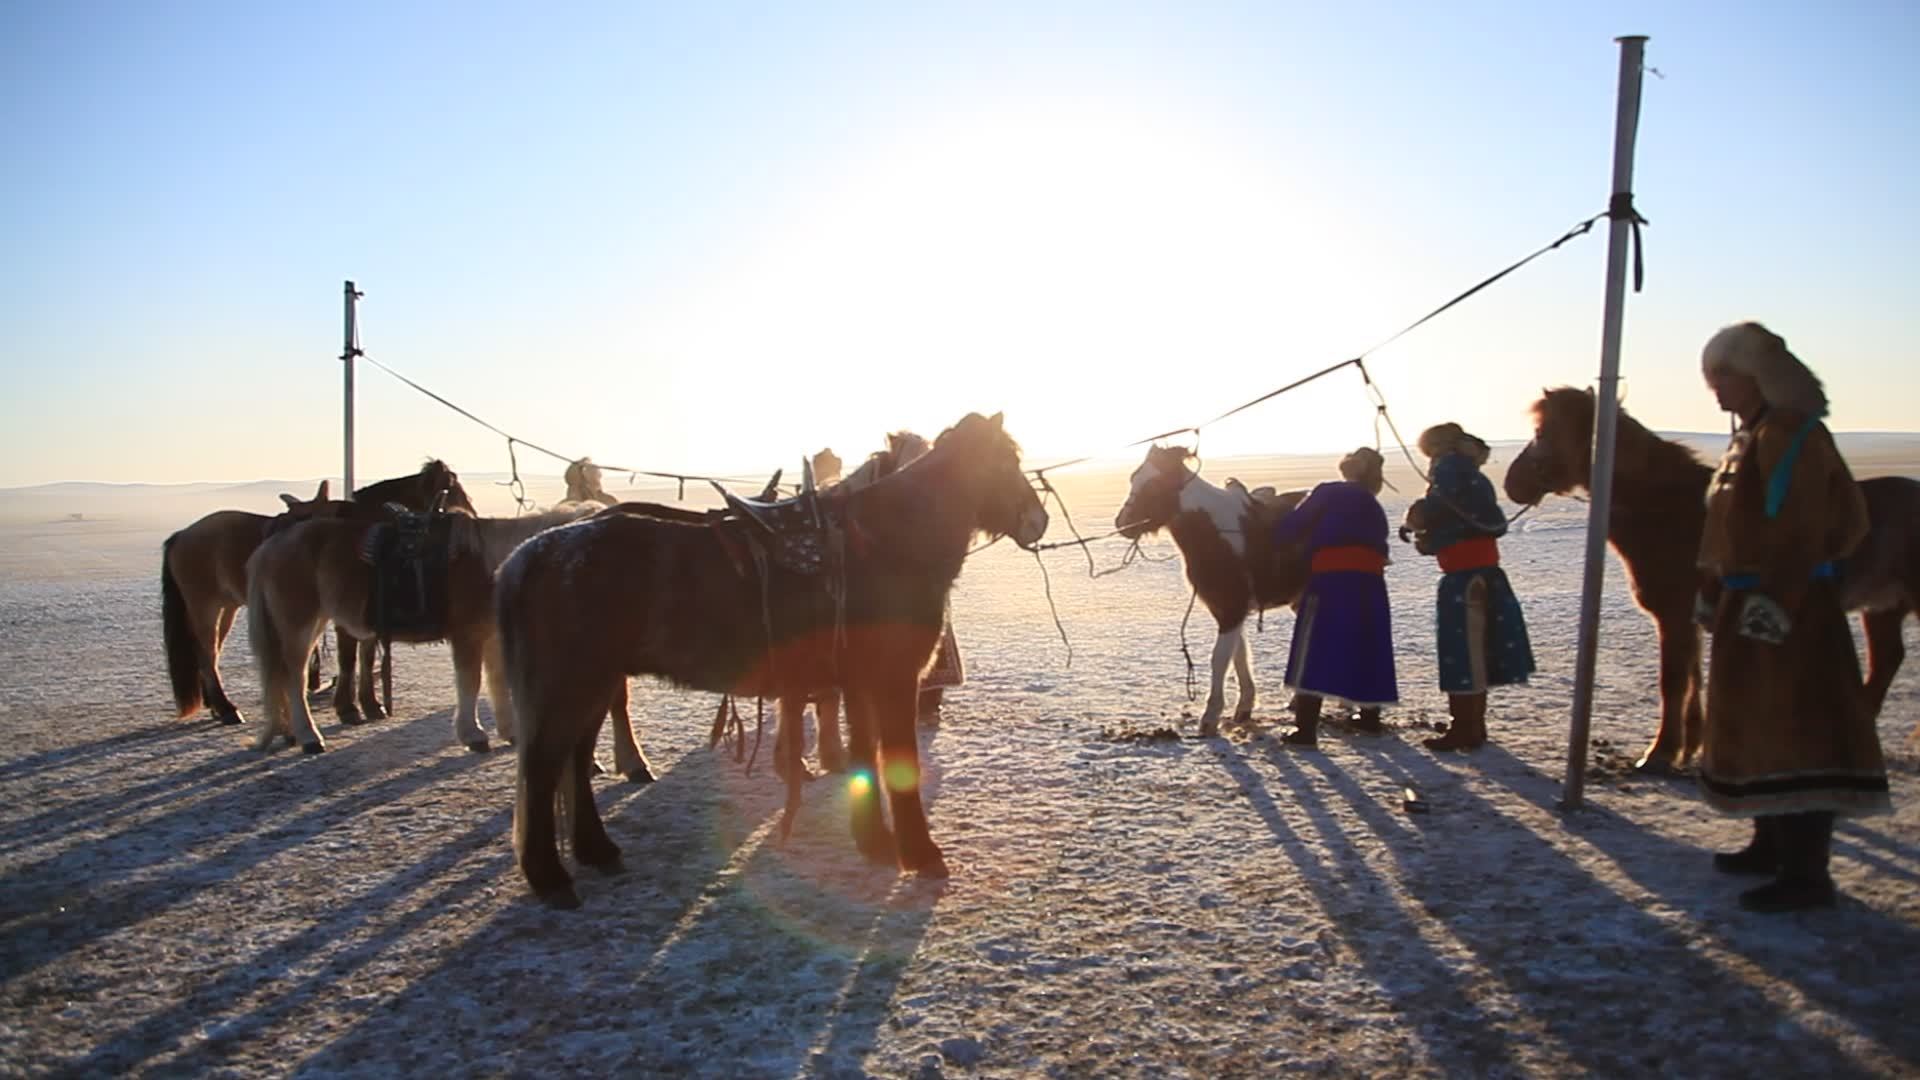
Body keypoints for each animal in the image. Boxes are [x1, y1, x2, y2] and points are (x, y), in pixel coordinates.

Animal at [245, 504, 594, 755]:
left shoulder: (493, 637)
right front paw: (473, 735)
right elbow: (470, 682)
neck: (493, 564)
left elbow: (497, 681)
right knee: (295, 677)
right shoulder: (467, 636)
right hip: (300, 623)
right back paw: (309, 737)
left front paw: (510, 733)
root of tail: (271, 546)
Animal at [495, 412, 1048, 908]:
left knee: (574, 760)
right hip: (571, 686)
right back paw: (550, 877)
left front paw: (875, 844)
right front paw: (921, 854)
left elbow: (863, 758)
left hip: (594, 684)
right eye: (1008, 460)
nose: (1037, 520)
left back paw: (597, 850)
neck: (886, 541)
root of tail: (528, 554)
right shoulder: (891, 682)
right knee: (544, 769)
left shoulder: (857, 685)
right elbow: (896, 763)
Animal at [1115, 445, 1312, 736]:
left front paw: (1210, 717)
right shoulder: (1229, 611)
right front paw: (1243, 708)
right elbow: (1239, 657)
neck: (1214, 533)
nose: (1123, 523)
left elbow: (1220, 660)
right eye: (1133, 478)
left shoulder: (1231, 610)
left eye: (1154, 485)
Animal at [1504, 387, 1920, 768]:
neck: (1670, 509)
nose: (1510, 483)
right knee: (1886, 662)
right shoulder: (1687, 620)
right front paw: (1689, 748)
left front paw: (1660, 754)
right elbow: (1692, 682)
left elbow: (1673, 682)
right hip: (1883, 609)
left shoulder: (1674, 617)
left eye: (1542, 431)